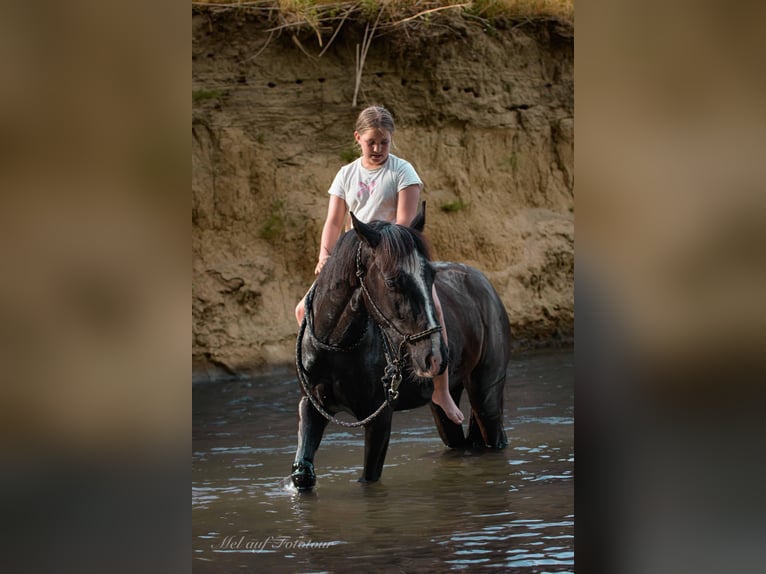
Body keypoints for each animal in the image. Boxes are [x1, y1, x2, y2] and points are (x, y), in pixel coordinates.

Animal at [291, 207, 511, 490]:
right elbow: (303, 473)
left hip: (487, 394)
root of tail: (482, 281)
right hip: (445, 403)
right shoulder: (312, 406)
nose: (435, 358)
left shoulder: (380, 418)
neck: (337, 347)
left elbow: (369, 478)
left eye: (431, 276)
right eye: (392, 282)